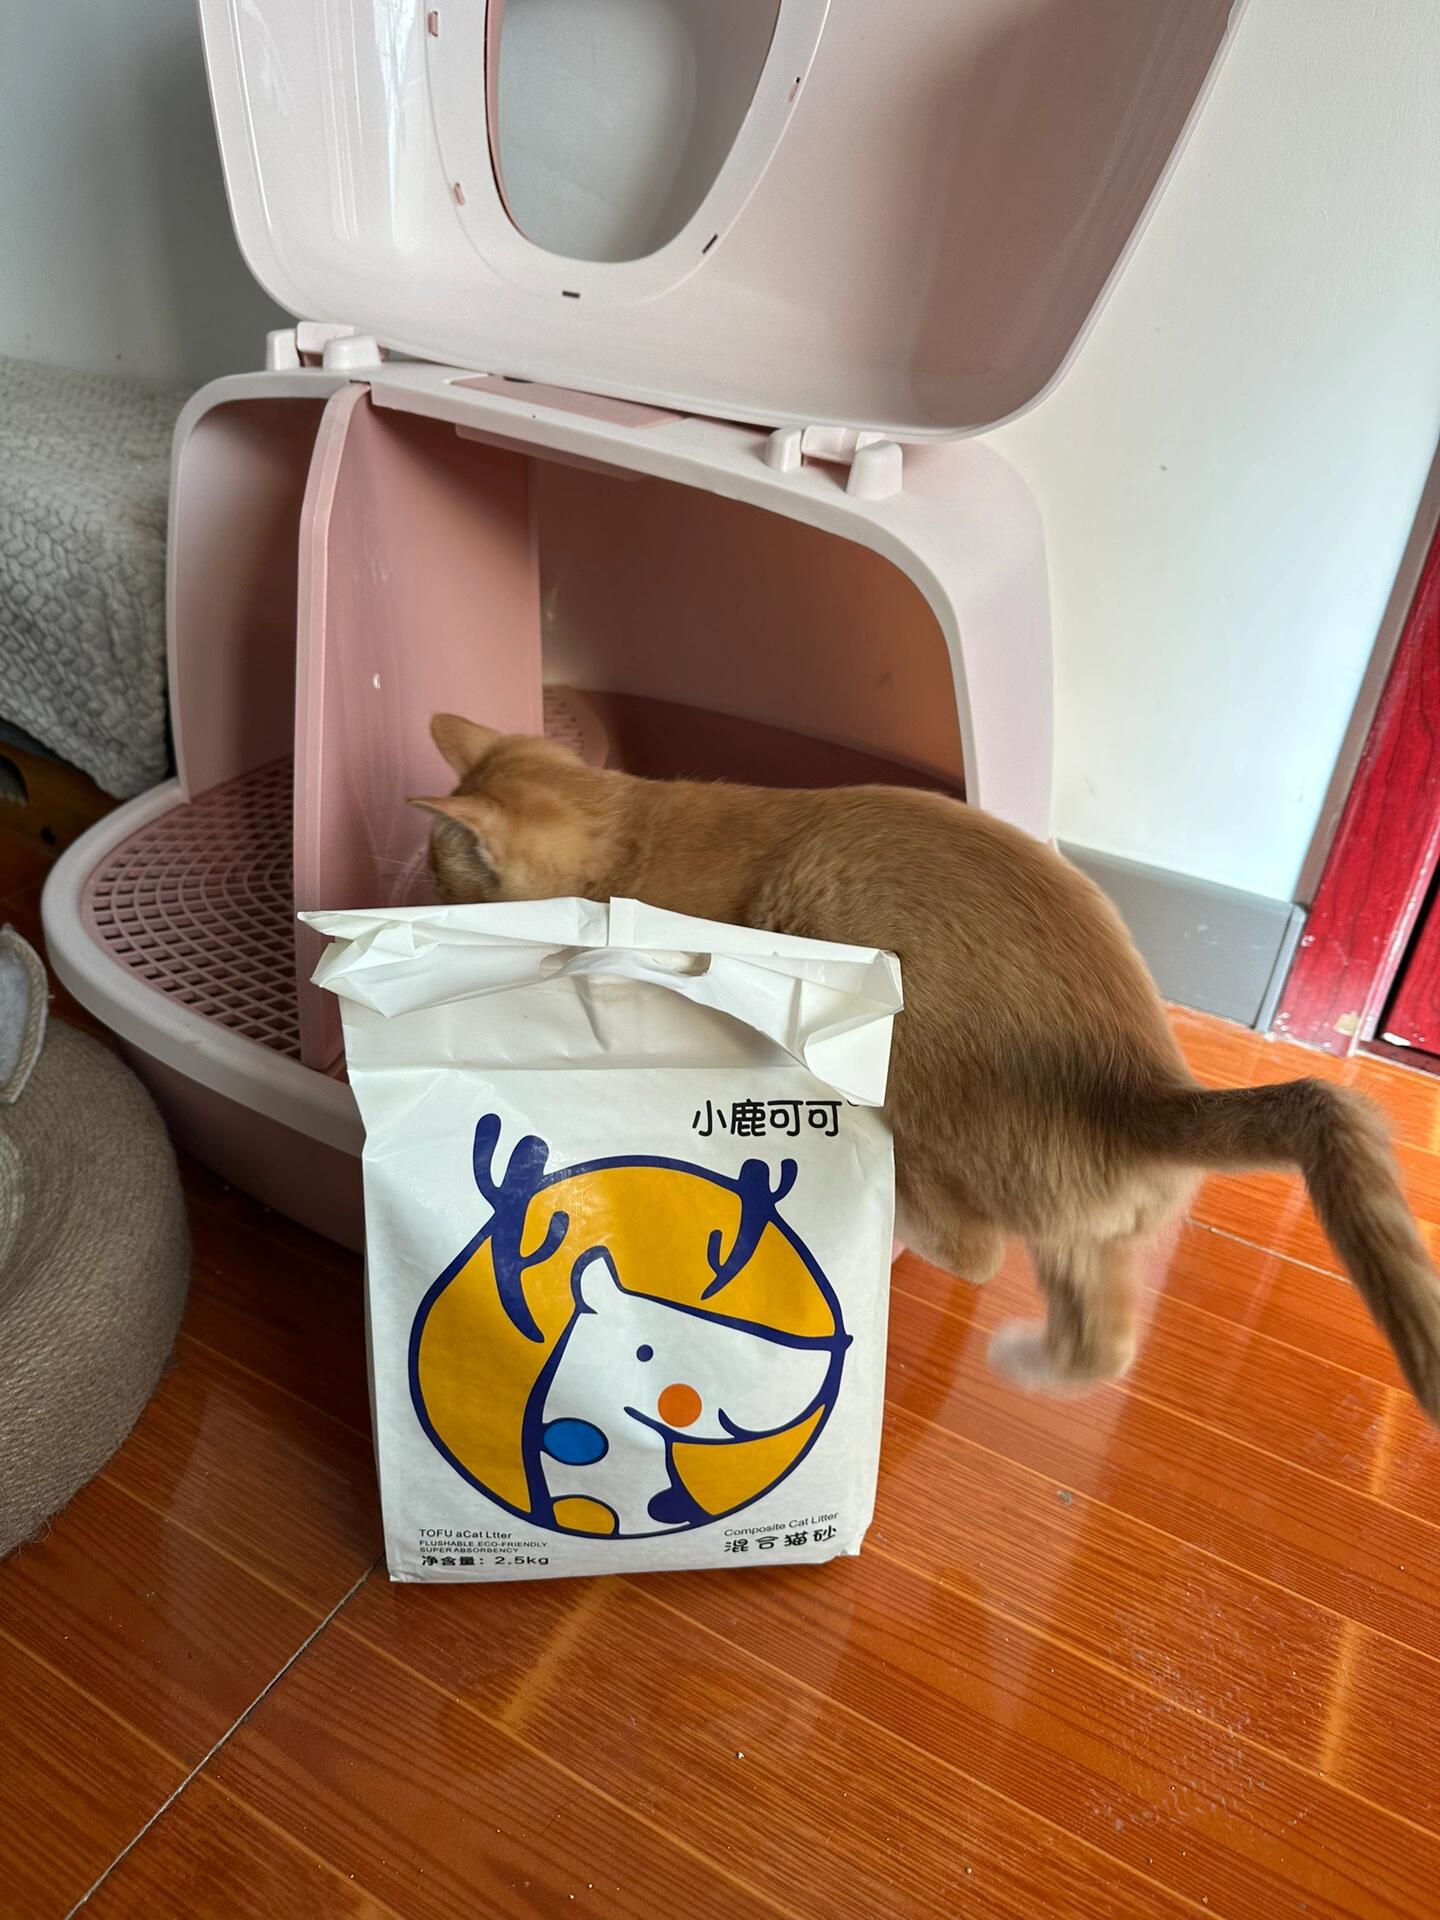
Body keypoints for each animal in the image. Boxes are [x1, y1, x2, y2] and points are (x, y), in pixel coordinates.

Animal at [414, 711, 1440, 1423]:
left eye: (438, 875)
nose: (409, 890)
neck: (635, 831)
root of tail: (1146, 1090)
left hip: (894, 1052)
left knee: (974, 1249)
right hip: (1087, 1246)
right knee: (1100, 1342)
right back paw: (1026, 1361)